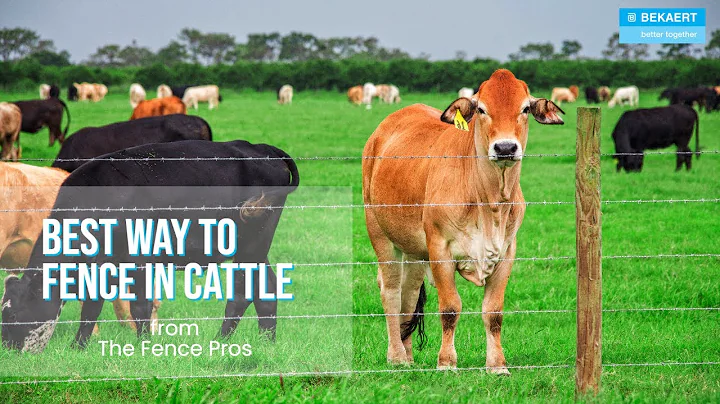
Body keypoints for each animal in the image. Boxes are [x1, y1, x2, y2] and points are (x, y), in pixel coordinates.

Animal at [2, 139, 300, 352]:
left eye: (14, 313)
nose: (9, 349)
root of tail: (260, 148)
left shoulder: (139, 259)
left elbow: (139, 307)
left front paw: (144, 345)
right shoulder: (102, 265)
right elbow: (92, 307)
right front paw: (78, 347)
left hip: (253, 244)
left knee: (241, 294)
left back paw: (222, 341)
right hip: (255, 247)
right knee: (265, 290)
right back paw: (265, 342)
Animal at [362, 69, 564, 373]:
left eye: (525, 109)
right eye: (481, 109)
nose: (505, 147)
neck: (490, 203)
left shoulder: (507, 252)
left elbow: (493, 312)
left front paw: (497, 365)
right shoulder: (440, 249)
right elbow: (450, 308)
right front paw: (447, 363)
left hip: (414, 251)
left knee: (409, 293)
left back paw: (408, 357)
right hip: (381, 236)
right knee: (391, 292)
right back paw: (396, 356)